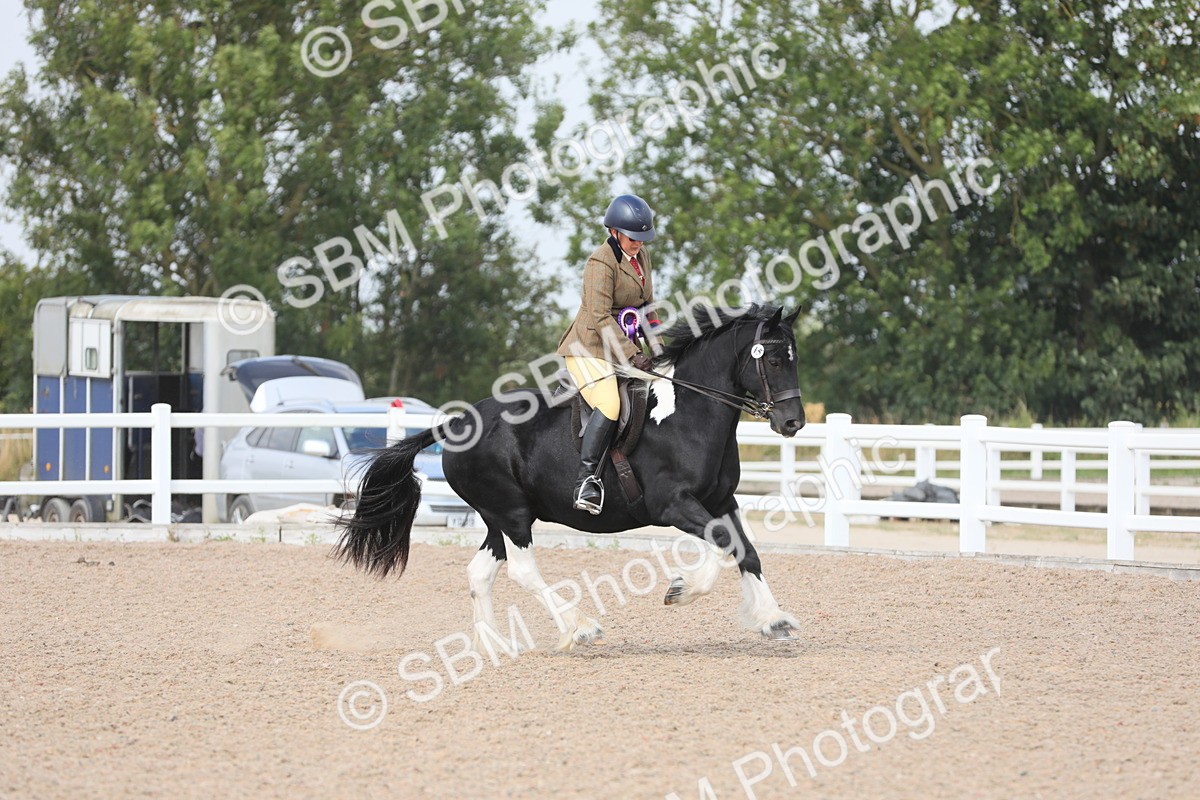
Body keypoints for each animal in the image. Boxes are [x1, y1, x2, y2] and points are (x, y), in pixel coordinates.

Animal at [335, 304, 807, 650]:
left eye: (794, 358)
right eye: (771, 359)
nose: (793, 422)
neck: (688, 414)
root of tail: (456, 422)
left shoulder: (723, 501)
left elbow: (746, 551)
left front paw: (773, 619)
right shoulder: (672, 505)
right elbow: (722, 543)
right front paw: (681, 589)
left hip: (497, 517)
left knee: (481, 572)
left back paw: (496, 646)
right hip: (511, 513)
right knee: (522, 570)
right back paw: (579, 626)